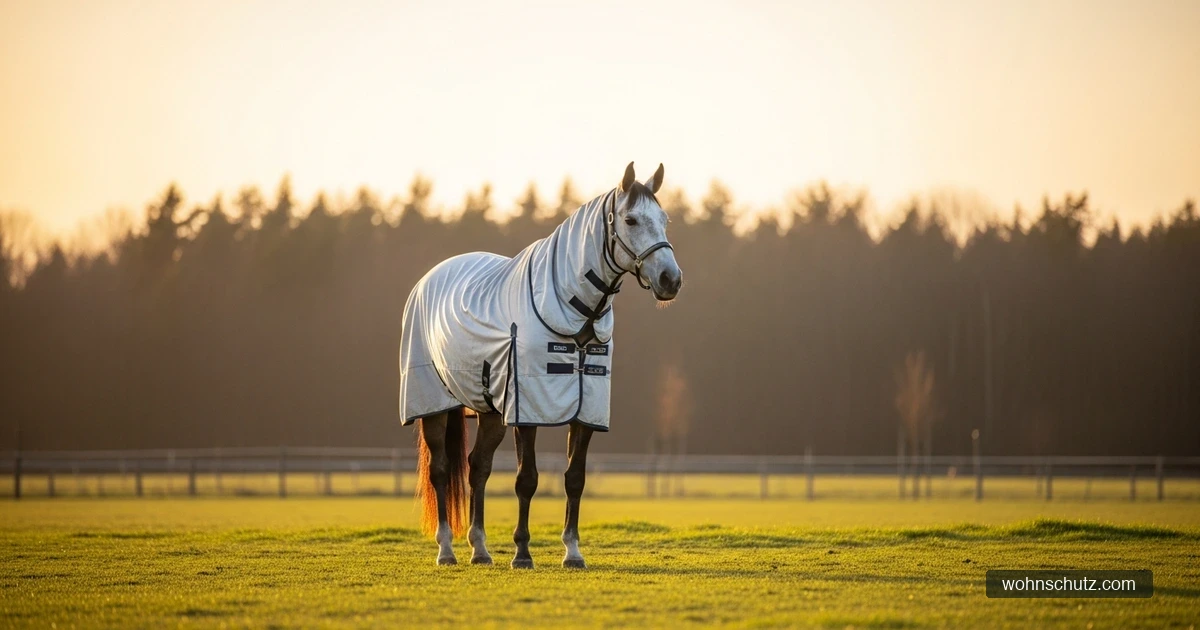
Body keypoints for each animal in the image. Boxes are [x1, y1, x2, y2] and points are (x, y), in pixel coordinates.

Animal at [398, 162, 682, 568]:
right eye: (630, 219)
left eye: (664, 220)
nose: (670, 280)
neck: (569, 307)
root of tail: (428, 280)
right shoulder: (528, 409)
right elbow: (526, 479)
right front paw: (522, 553)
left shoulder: (585, 409)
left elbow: (574, 478)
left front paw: (573, 552)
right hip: (433, 405)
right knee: (440, 470)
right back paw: (447, 549)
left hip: (490, 412)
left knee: (478, 467)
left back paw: (480, 549)